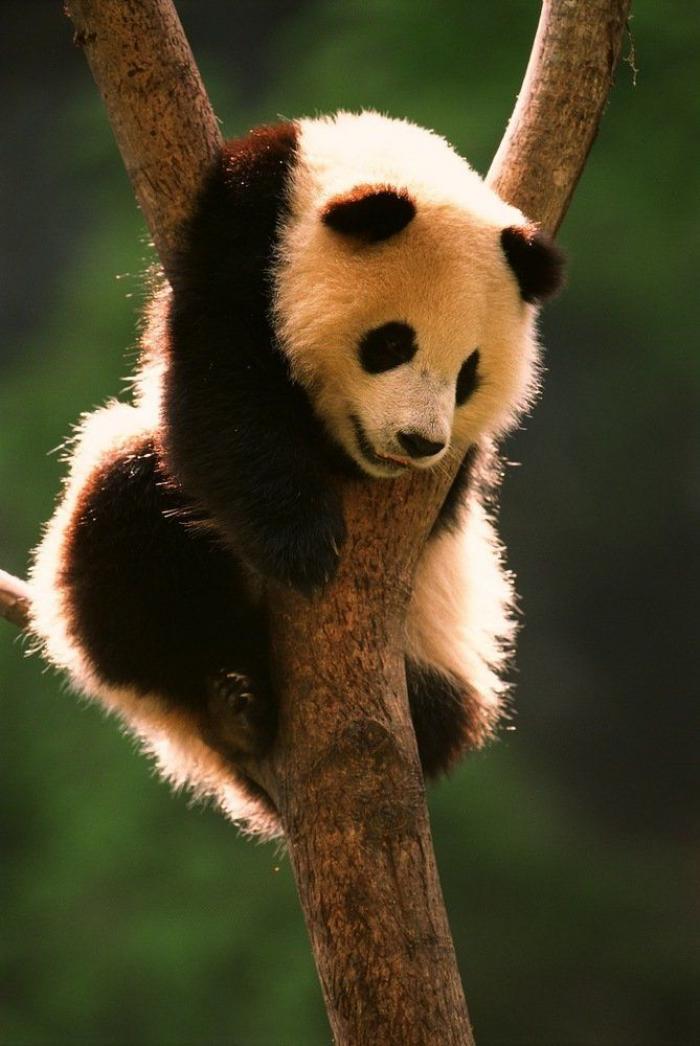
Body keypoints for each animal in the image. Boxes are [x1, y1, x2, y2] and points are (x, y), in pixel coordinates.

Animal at [29, 111, 563, 837]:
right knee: (126, 524)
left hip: (441, 643)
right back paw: (231, 690)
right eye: (391, 343)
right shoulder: (238, 238)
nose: (418, 442)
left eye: (469, 372)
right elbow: (221, 392)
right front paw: (303, 544)